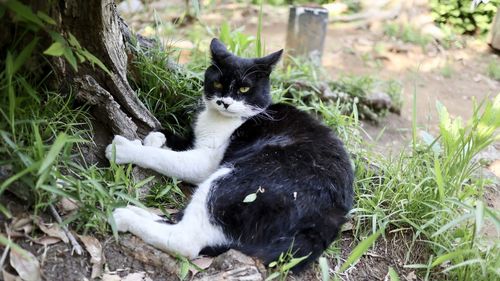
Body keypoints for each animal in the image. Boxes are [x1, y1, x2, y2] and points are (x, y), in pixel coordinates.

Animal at [107, 38, 354, 270]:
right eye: (217, 82)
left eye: (244, 89)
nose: (224, 102)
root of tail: (329, 219)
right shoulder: (196, 141)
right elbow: (176, 143)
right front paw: (156, 138)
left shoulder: (207, 161)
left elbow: (166, 158)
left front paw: (124, 149)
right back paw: (138, 211)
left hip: (236, 180)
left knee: (186, 241)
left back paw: (125, 217)